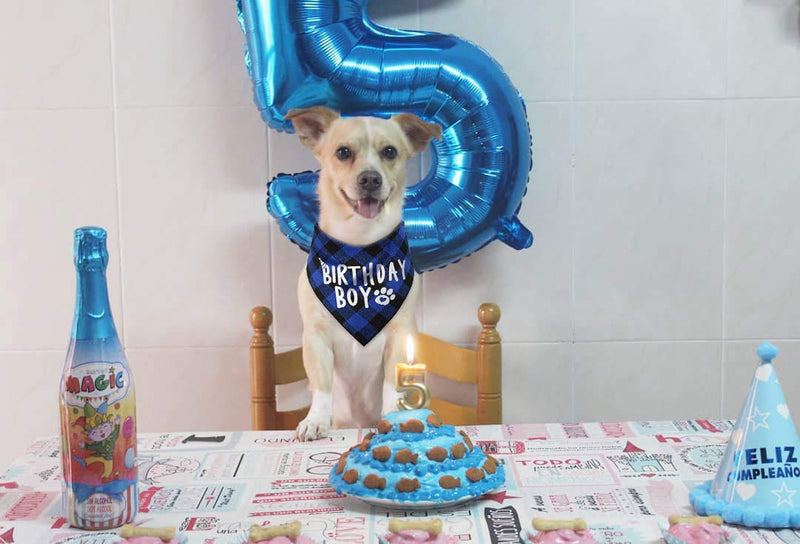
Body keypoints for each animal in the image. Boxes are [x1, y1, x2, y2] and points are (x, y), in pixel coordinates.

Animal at [284, 107, 440, 442]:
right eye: (343, 152)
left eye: (390, 152)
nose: (370, 178)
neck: (359, 252)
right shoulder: (315, 337)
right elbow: (322, 385)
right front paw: (316, 419)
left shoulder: (400, 335)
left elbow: (391, 384)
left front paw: (393, 417)